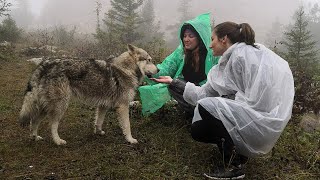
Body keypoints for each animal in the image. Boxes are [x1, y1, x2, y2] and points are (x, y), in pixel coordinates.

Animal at [18, 44, 158, 146]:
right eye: (149, 60)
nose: (158, 70)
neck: (126, 69)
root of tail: (43, 65)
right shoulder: (123, 106)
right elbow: (127, 125)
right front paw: (130, 139)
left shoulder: (103, 105)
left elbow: (98, 121)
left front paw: (98, 132)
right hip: (60, 106)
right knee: (52, 125)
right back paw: (58, 141)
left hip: (44, 106)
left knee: (34, 120)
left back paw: (35, 137)